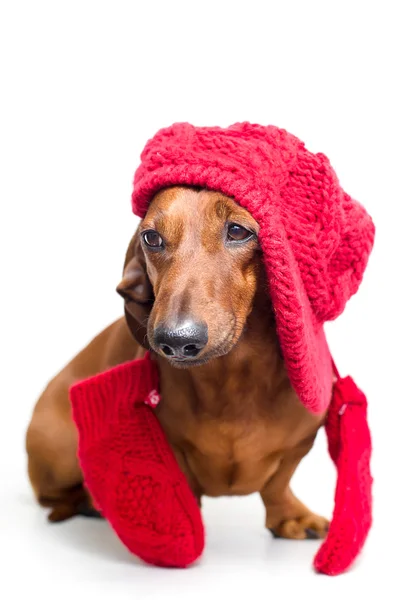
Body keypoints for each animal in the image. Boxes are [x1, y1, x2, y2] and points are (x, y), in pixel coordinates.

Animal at [26, 186, 328, 540]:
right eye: (151, 237)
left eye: (239, 231)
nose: (176, 341)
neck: (234, 378)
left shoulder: (301, 443)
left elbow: (278, 482)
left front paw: (289, 516)